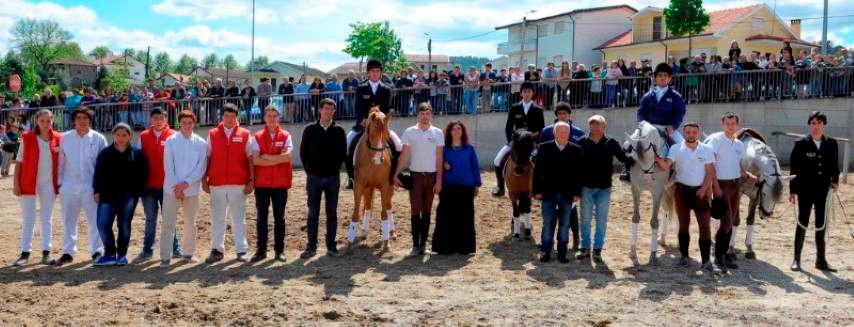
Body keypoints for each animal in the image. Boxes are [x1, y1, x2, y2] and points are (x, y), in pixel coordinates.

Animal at [350, 106, 396, 255]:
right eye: (374, 131)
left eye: (386, 133)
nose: (378, 159)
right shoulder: (359, 185)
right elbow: (356, 212)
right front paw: (350, 241)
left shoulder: (385, 185)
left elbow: (384, 213)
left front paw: (386, 243)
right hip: (367, 187)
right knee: (368, 206)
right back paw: (364, 232)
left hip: (389, 188)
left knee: (388, 206)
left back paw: (391, 233)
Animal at [628, 120, 676, 264]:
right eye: (634, 156)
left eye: (650, 153)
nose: (648, 176)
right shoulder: (635, 189)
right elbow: (635, 217)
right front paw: (633, 253)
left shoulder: (657, 191)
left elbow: (654, 222)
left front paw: (653, 255)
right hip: (665, 191)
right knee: (667, 210)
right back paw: (662, 238)